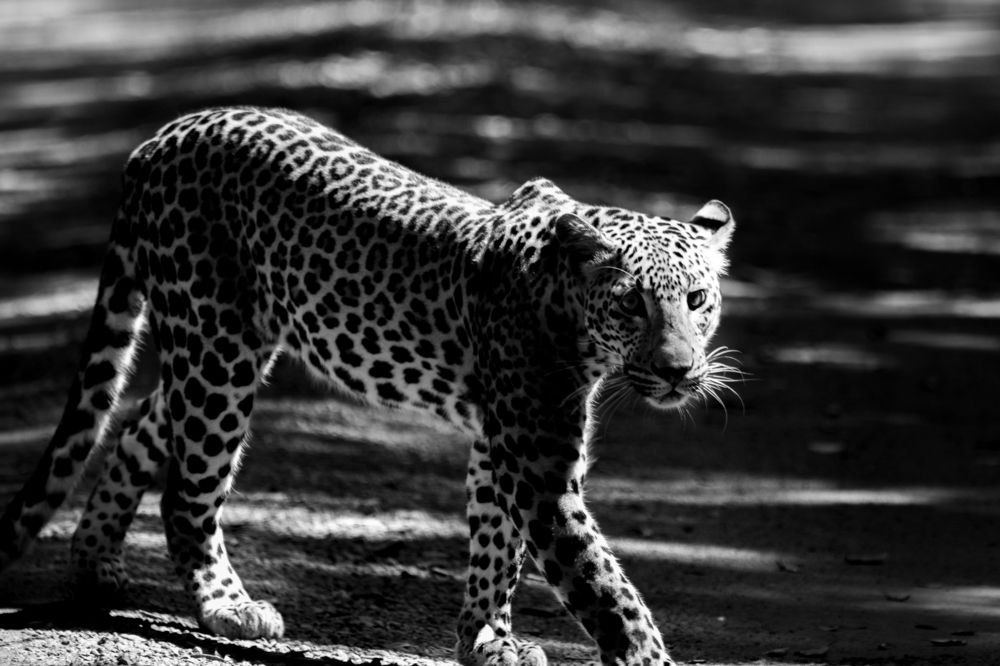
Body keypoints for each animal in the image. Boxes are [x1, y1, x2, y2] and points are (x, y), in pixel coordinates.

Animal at [0, 106, 736, 666]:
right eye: (630, 304)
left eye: (697, 300)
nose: (678, 370)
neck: (569, 309)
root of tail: (158, 139)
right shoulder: (540, 468)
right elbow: (604, 587)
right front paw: (645, 657)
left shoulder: (500, 444)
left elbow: (497, 544)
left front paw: (486, 639)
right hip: (217, 348)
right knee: (187, 491)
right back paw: (227, 608)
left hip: (222, 345)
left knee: (140, 425)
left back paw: (98, 567)